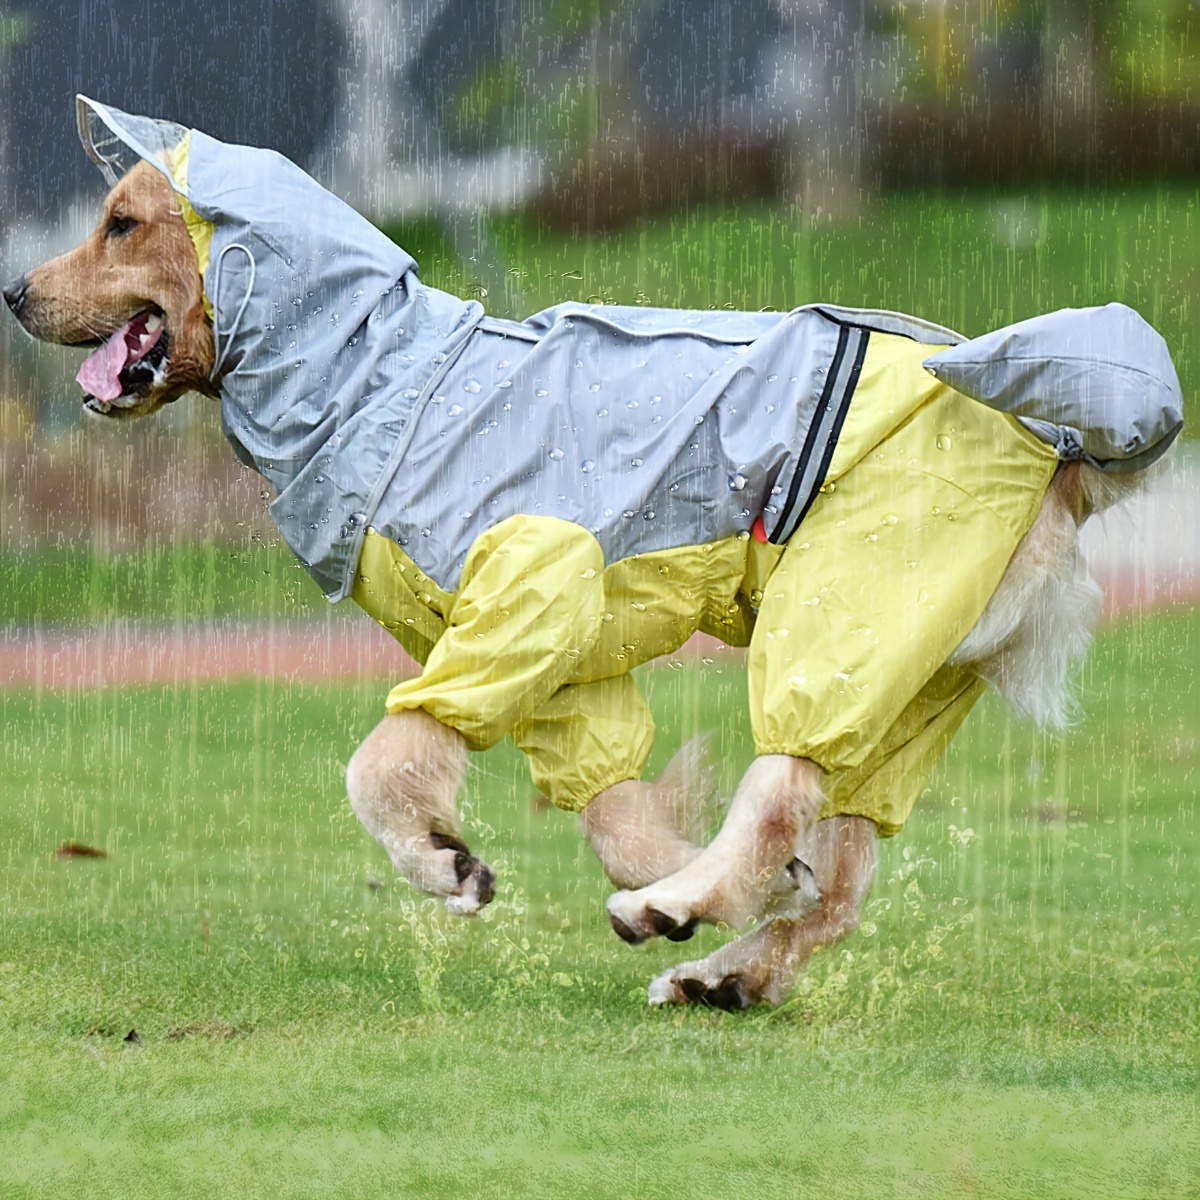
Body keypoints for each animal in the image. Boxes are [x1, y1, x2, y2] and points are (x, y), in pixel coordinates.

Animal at [4, 114, 1176, 1012]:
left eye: (122, 224)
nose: (14, 293)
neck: (381, 377)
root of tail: (1060, 449)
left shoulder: (529, 588)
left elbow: (382, 764)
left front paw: (445, 864)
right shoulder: (567, 676)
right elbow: (619, 812)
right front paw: (719, 880)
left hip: (845, 618)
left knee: (782, 785)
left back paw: (686, 912)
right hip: (914, 677)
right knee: (839, 885)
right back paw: (723, 970)